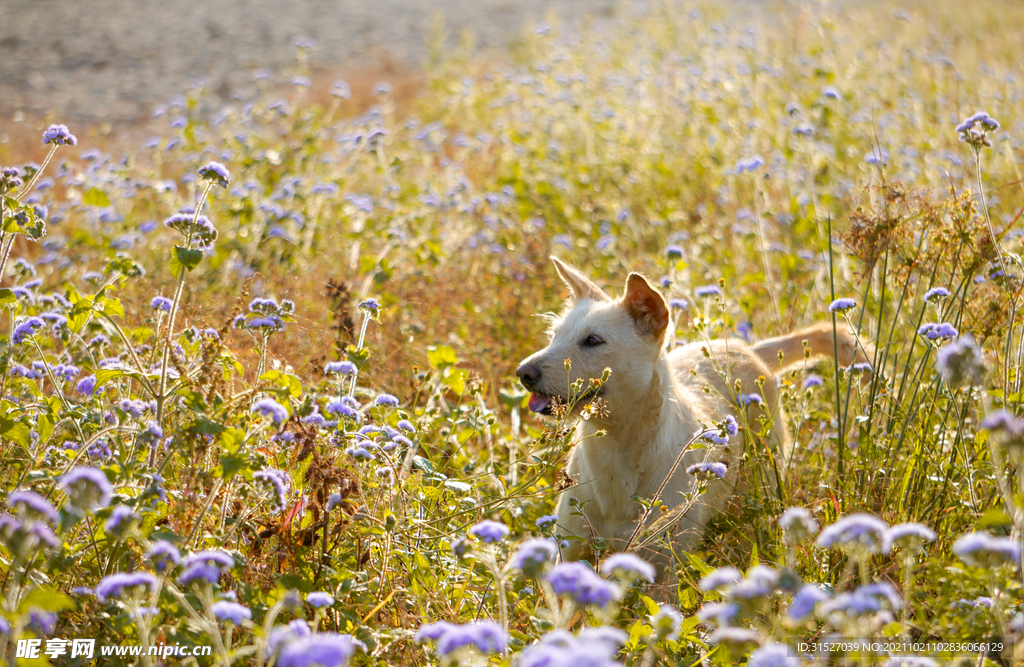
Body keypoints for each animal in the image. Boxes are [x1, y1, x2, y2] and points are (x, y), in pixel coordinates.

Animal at [516, 258, 868, 569]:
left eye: (592, 340)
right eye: (554, 335)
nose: (523, 373)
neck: (617, 450)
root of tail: (749, 349)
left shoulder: (666, 569)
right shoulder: (569, 552)